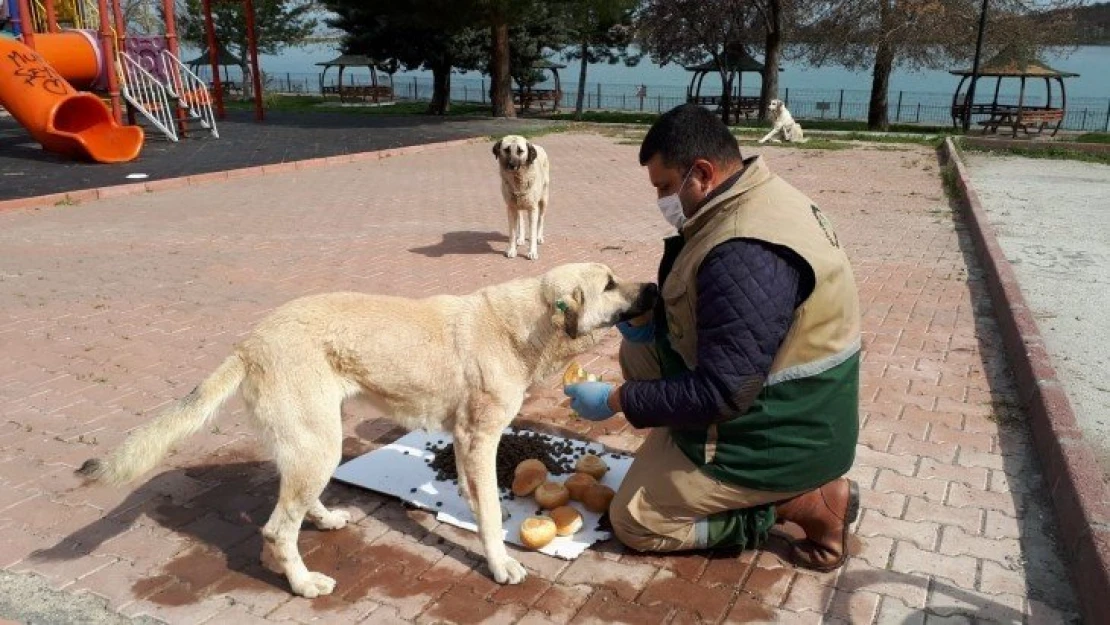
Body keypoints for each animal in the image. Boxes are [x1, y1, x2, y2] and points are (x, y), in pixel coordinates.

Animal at [78, 261, 657, 599]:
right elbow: (492, 516)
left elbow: (477, 501)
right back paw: (303, 583)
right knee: (276, 530)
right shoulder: (479, 440)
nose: (653, 284)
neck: (525, 325)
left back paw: (324, 518)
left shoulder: (467, 442)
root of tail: (249, 343)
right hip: (320, 443)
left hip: (317, 442)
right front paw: (500, 565)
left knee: (295, 500)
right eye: (609, 284)